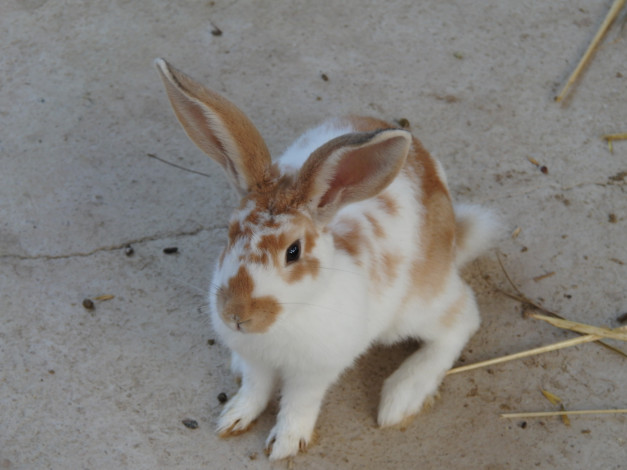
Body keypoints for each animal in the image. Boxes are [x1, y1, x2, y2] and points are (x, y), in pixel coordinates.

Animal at [156, 57, 500, 458]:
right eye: (229, 232)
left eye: (293, 251)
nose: (237, 315)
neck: (284, 321)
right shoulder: (259, 362)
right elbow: (255, 387)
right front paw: (234, 418)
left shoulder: (314, 372)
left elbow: (299, 403)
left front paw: (285, 444)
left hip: (416, 308)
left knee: (462, 318)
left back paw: (402, 396)